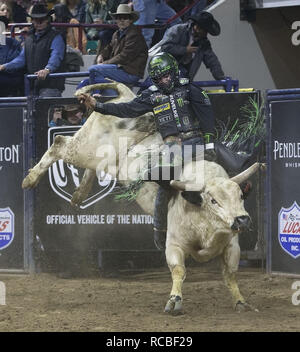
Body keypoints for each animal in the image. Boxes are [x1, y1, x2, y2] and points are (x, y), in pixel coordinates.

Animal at [22, 82, 264, 314]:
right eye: (213, 200)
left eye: (240, 196)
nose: (242, 219)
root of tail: (126, 95)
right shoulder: (174, 244)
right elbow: (179, 270)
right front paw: (174, 302)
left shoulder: (232, 245)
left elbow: (230, 274)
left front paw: (241, 302)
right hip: (85, 149)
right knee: (59, 143)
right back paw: (30, 179)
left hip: (101, 159)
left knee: (85, 164)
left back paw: (79, 194)